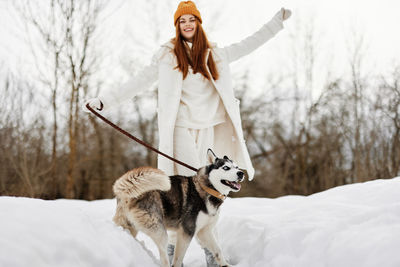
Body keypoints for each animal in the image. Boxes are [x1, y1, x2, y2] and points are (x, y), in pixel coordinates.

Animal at [111, 150, 244, 266]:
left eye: (237, 167)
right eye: (226, 168)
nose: (241, 173)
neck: (206, 188)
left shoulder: (204, 231)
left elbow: (217, 251)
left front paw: (225, 265)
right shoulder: (187, 231)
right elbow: (178, 258)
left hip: (130, 226)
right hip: (160, 232)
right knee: (164, 256)